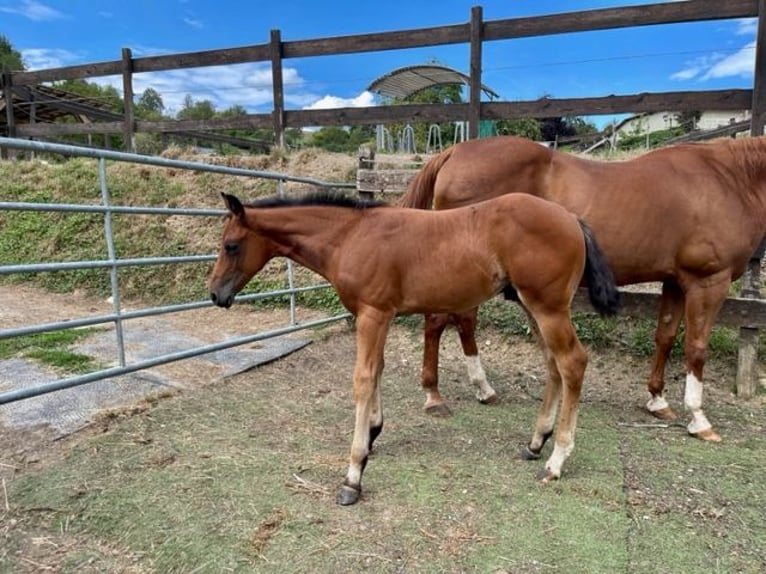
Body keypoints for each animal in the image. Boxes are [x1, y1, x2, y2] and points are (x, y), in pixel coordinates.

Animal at [208, 192, 616, 504]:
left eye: (231, 245)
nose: (215, 295)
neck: (350, 237)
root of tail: (571, 217)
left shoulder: (372, 314)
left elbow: (363, 378)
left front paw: (353, 474)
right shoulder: (380, 315)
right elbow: (378, 370)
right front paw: (373, 433)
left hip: (547, 307)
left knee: (572, 362)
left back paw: (556, 460)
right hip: (533, 305)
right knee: (552, 363)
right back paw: (535, 443)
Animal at [402, 134, 766, 440]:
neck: (728, 179)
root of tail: (456, 151)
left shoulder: (675, 282)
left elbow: (665, 337)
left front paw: (657, 399)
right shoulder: (708, 282)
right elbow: (696, 347)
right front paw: (698, 418)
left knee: (458, 322)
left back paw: (481, 388)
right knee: (440, 321)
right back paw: (435, 396)